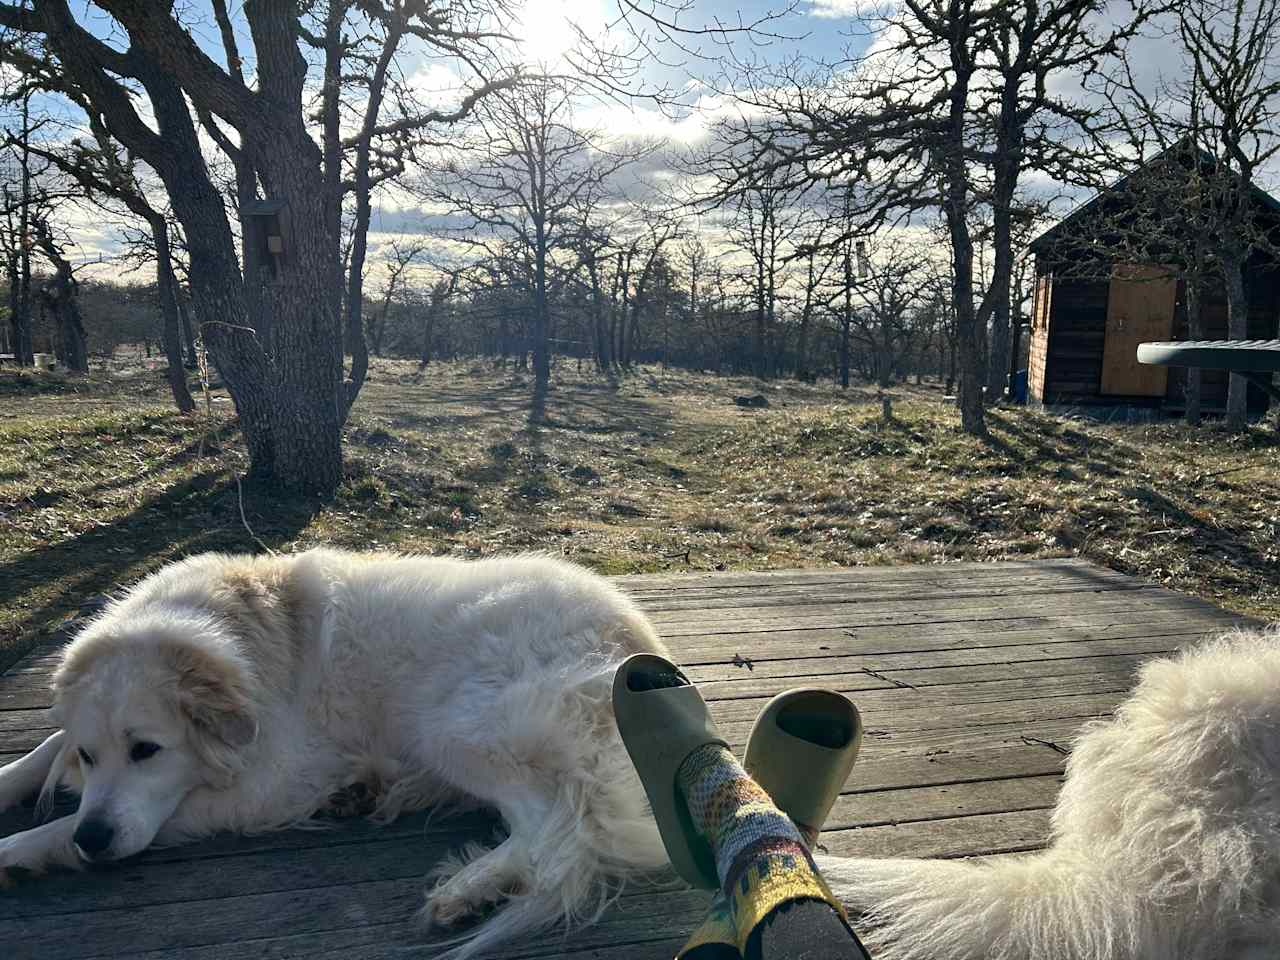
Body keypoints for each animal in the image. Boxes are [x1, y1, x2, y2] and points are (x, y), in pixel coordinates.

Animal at [0, 547, 670, 960]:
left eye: (147, 750)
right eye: (90, 755)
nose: (94, 839)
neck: (246, 633)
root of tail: (637, 641)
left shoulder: (273, 783)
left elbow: (98, 821)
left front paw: (22, 850)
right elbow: (45, 748)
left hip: (450, 724)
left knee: (554, 822)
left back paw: (468, 887)